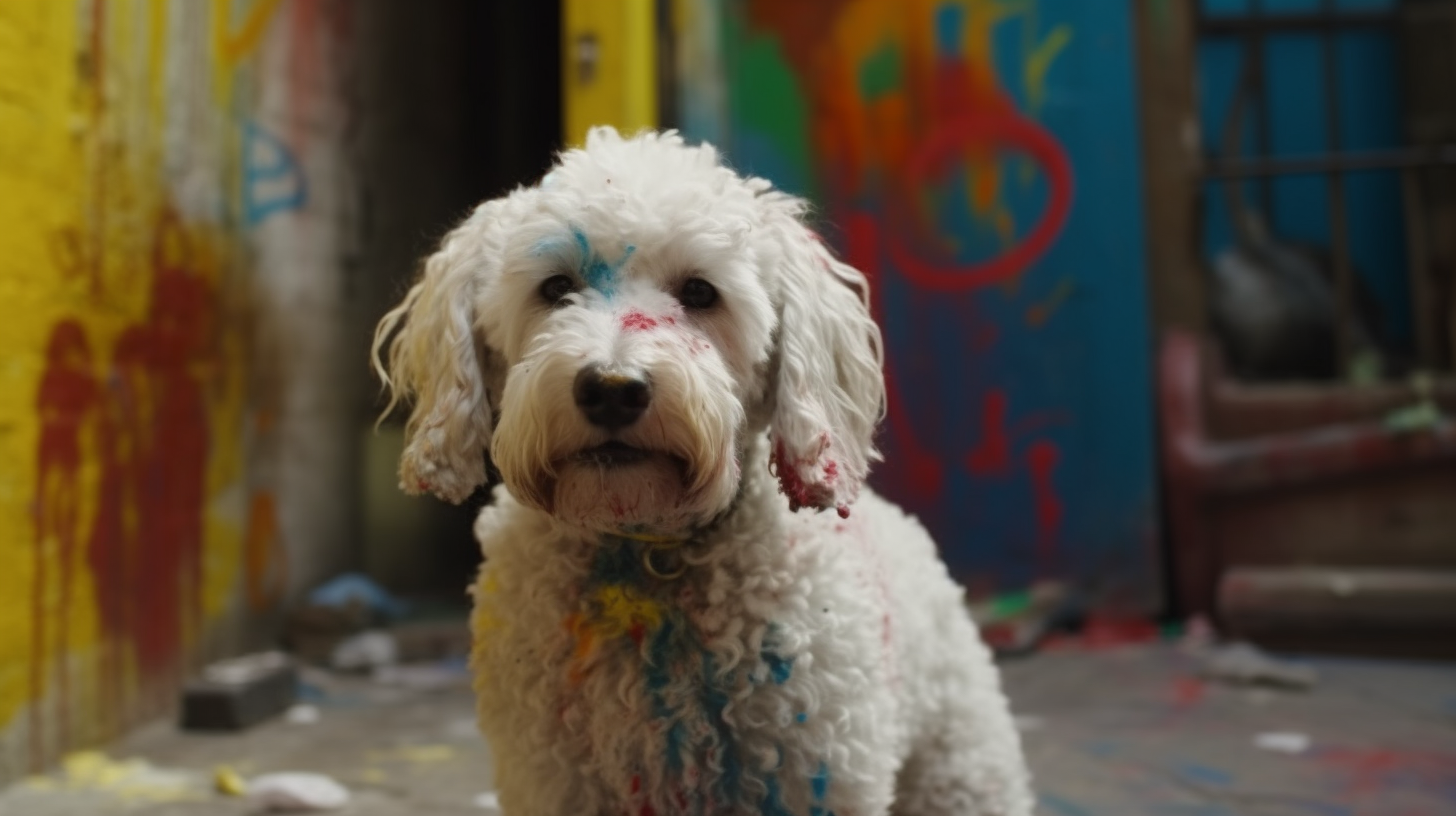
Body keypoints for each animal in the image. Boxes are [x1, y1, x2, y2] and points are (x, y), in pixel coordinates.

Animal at [375, 127, 1036, 816]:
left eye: (699, 293)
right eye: (555, 288)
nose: (612, 389)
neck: (643, 549)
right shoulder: (554, 780)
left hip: (960, 766)